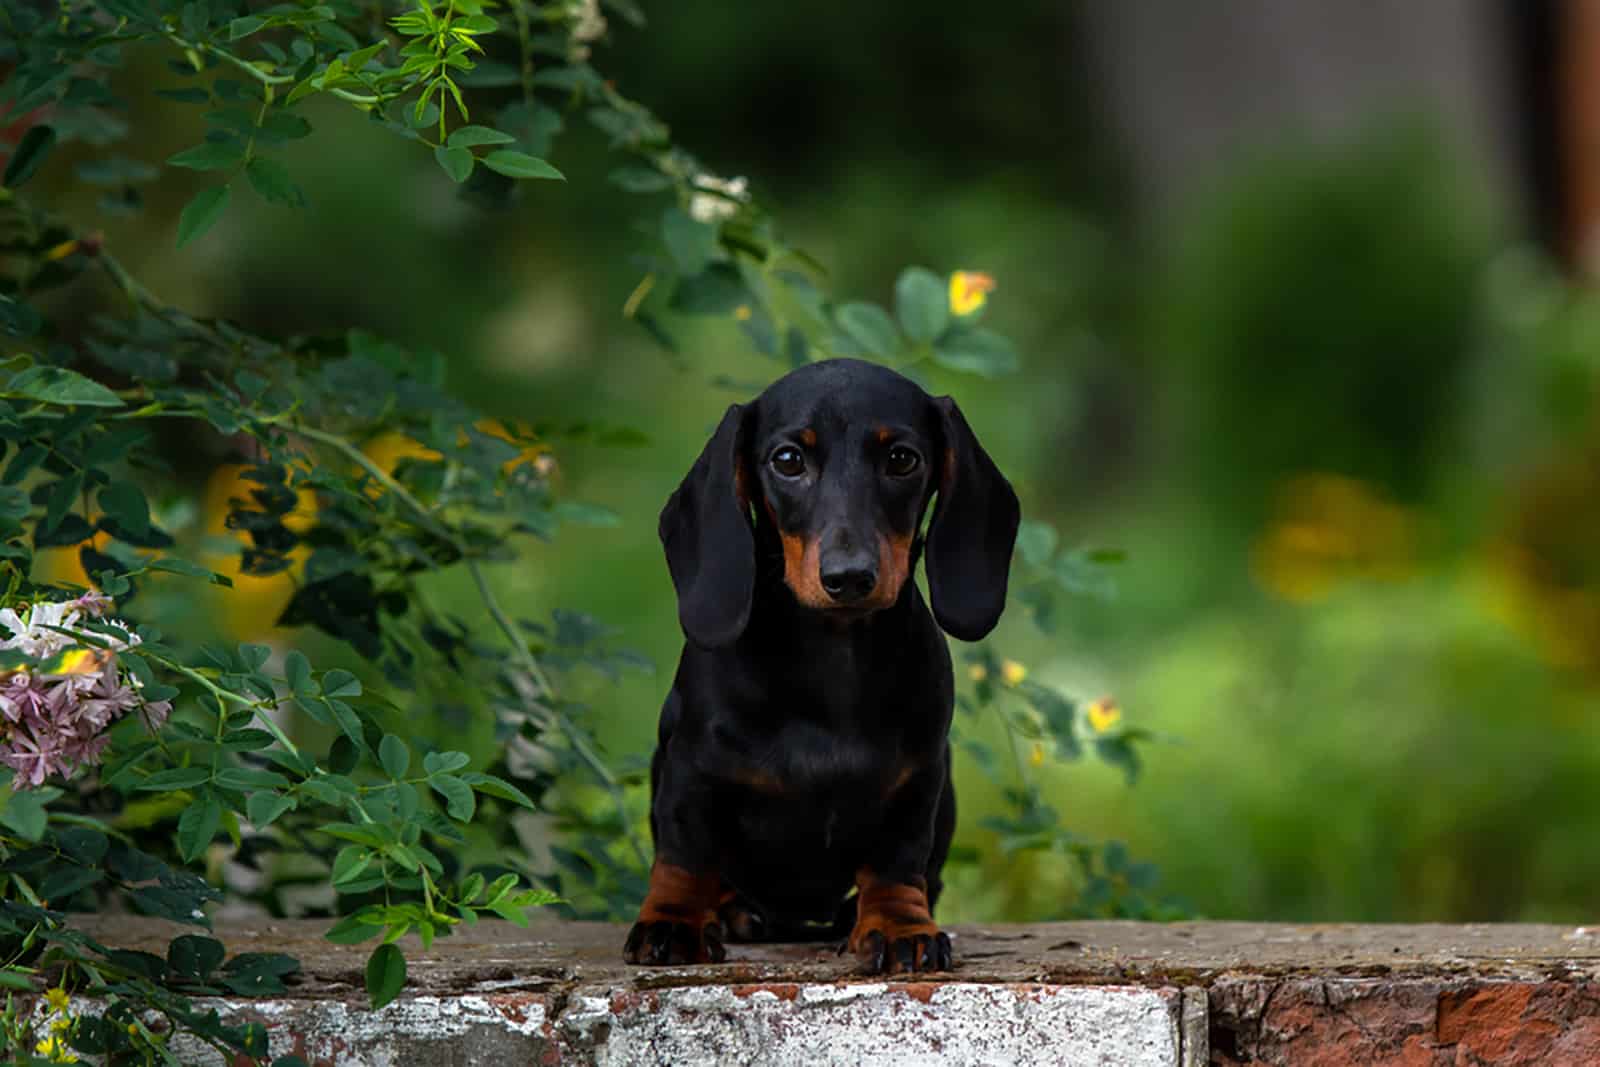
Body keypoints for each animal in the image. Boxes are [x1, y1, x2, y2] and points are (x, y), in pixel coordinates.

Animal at [617, 361, 1017, 979]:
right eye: (788, 460)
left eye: (902, 459)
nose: (849, 577)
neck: (833, 659)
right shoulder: (689, 769)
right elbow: (685, 856)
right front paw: (672, 921)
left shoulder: (919, 780)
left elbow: (897, 863)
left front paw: (901, 926)